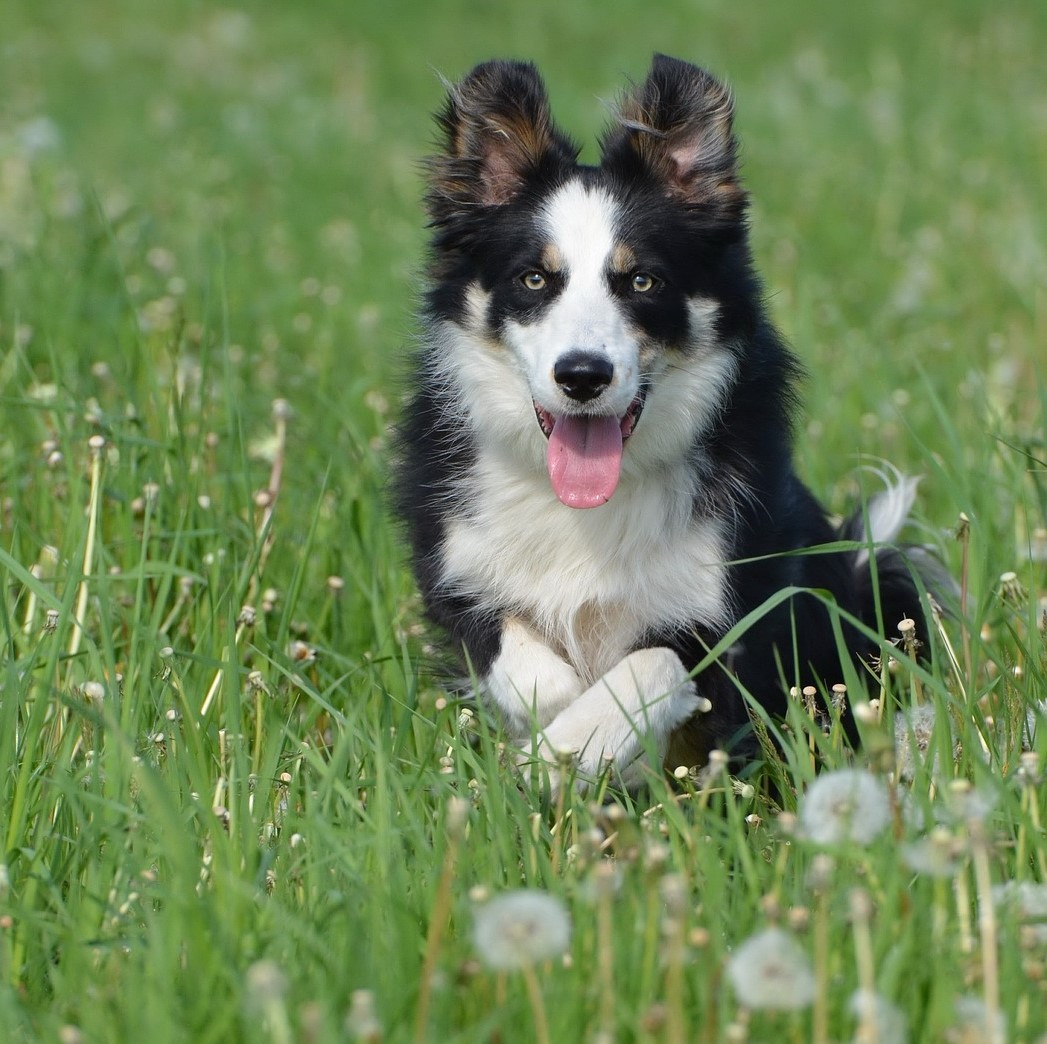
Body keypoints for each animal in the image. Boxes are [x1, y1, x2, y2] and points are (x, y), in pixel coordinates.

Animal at [393, 51, 942, 783]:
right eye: (534, 279)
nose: (583, 376)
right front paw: (553, 731)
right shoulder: (461, 572)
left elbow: (647, 666)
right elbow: (528, 663)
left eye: (641, 281)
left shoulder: (725, 606)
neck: (587, 509)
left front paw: (576, 742)